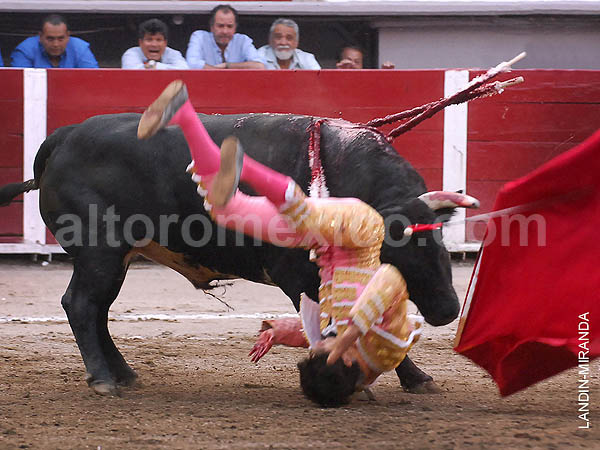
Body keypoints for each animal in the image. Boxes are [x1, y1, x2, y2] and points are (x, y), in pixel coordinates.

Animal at [0, 111, 462, 394]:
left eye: (440, 242)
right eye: (402, 250)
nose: (448, 309)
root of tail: (64, 138)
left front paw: (414, 378)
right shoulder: (299, 276)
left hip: (115, 259)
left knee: (96, 310)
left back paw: (124, 374)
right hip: (101, 251)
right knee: (81, 304)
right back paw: (102, 379)